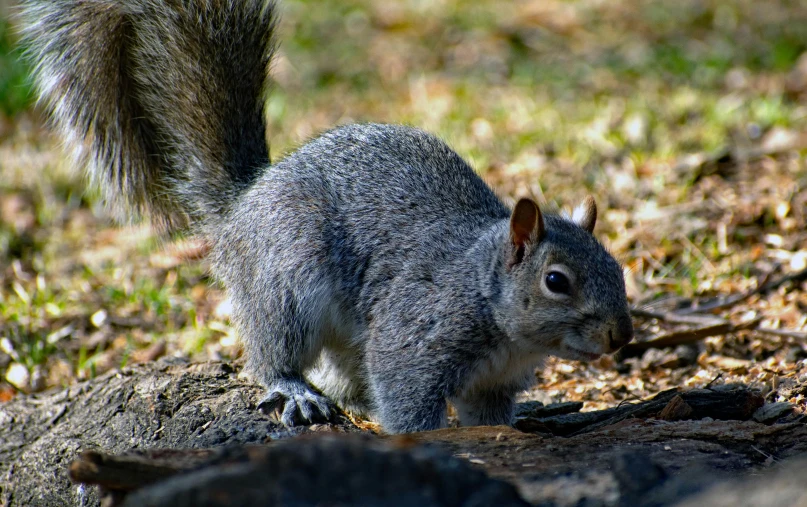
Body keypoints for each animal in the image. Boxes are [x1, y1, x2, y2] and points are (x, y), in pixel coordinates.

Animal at [19, 0, 636, 436]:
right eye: (556, 281)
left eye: (619, 269)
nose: (621, 335)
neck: (485, 295)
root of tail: (246, 202)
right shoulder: (411, 342)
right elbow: (407, 405)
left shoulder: (493, 385)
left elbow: (489, 418)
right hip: (288, 278)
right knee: (276, 354)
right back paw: (295, 390)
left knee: (344, 379)